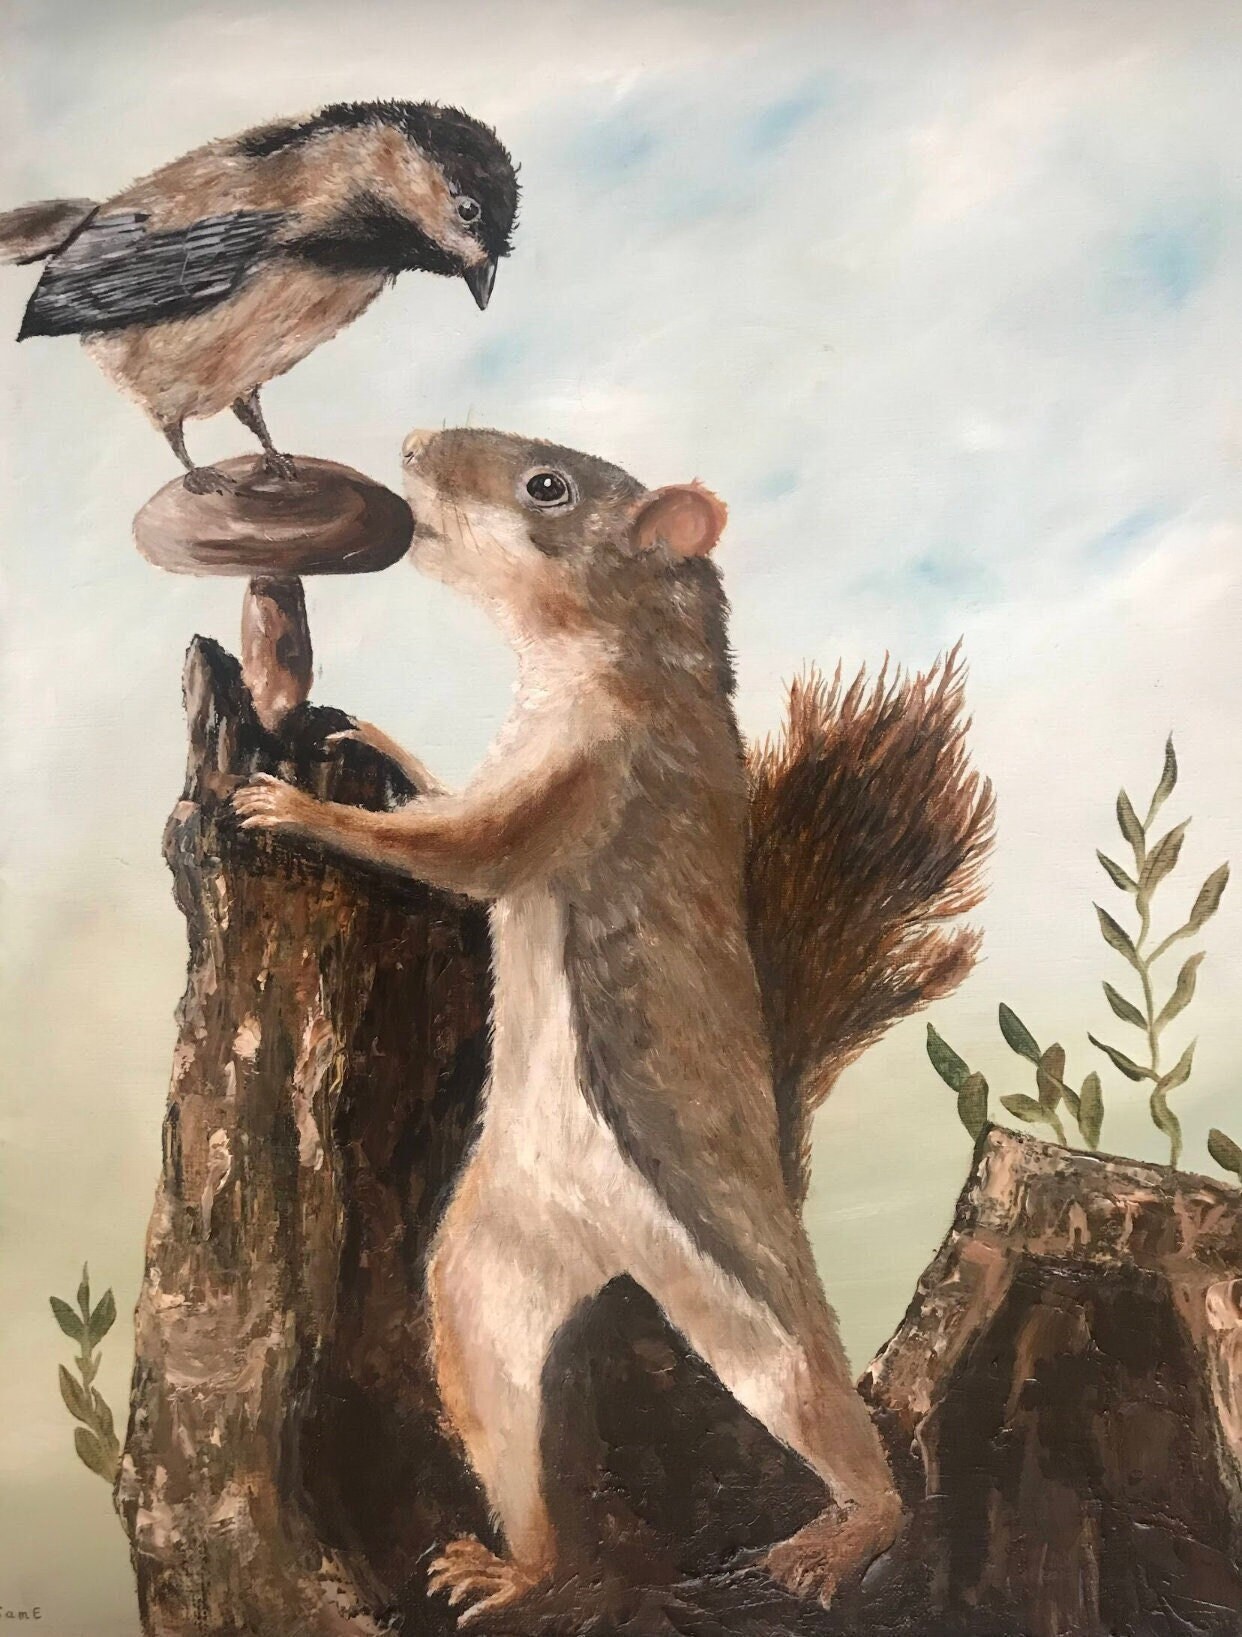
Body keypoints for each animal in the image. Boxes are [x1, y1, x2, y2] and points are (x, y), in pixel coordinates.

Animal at [233, 427, 994, 1624]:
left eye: (550, 485)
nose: (412, 444)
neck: (589, 658)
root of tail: (607, 1252)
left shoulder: (593, 773)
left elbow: (458, 852)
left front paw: (298, 809)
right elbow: (438, 799)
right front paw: (377, 738)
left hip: (758, 1314)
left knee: (831, 1418)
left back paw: (842, 1538)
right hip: (484, 1277)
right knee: (504, 1409)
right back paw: (515, 1568)